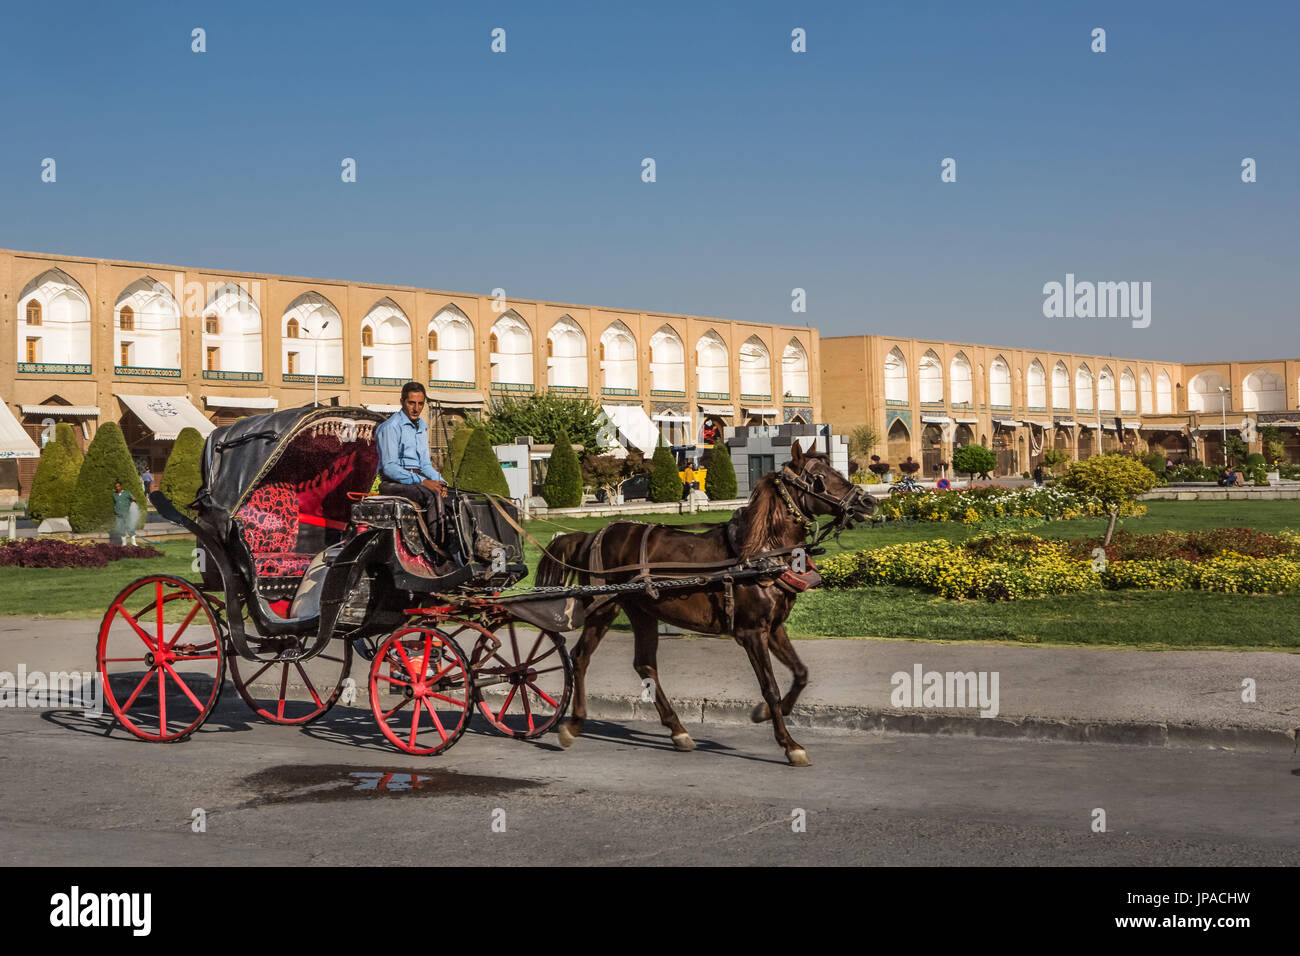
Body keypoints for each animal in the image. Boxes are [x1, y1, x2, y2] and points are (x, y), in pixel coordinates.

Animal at [533, 442, 878, 770]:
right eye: (818, 478)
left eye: (835, 470)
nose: (868, 502)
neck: (761, 552)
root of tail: (593, 534)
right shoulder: (752, 632)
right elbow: (770, 687)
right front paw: (789, 744)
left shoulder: (774, 627)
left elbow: (801, 674)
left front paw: (768, 713)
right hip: (605, 607)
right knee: (580, 657)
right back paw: (573, 724)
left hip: (642, 610)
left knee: (645, 664)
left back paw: (678, 730)